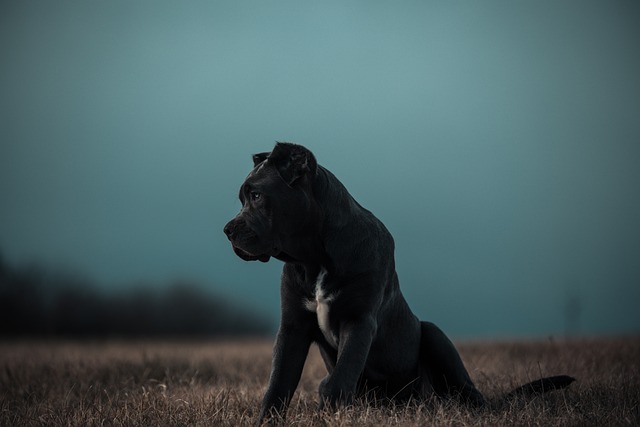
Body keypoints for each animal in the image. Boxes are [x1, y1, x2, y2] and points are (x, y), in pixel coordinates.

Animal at [225, 142, 576, 422]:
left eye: (256, 195)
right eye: (243, 198)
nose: (227, 230)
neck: (315, 258)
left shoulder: (359, 320)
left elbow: (341, 375)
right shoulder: (293, 327)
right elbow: (278, 384)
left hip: (434, 335)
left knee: (470, 394)